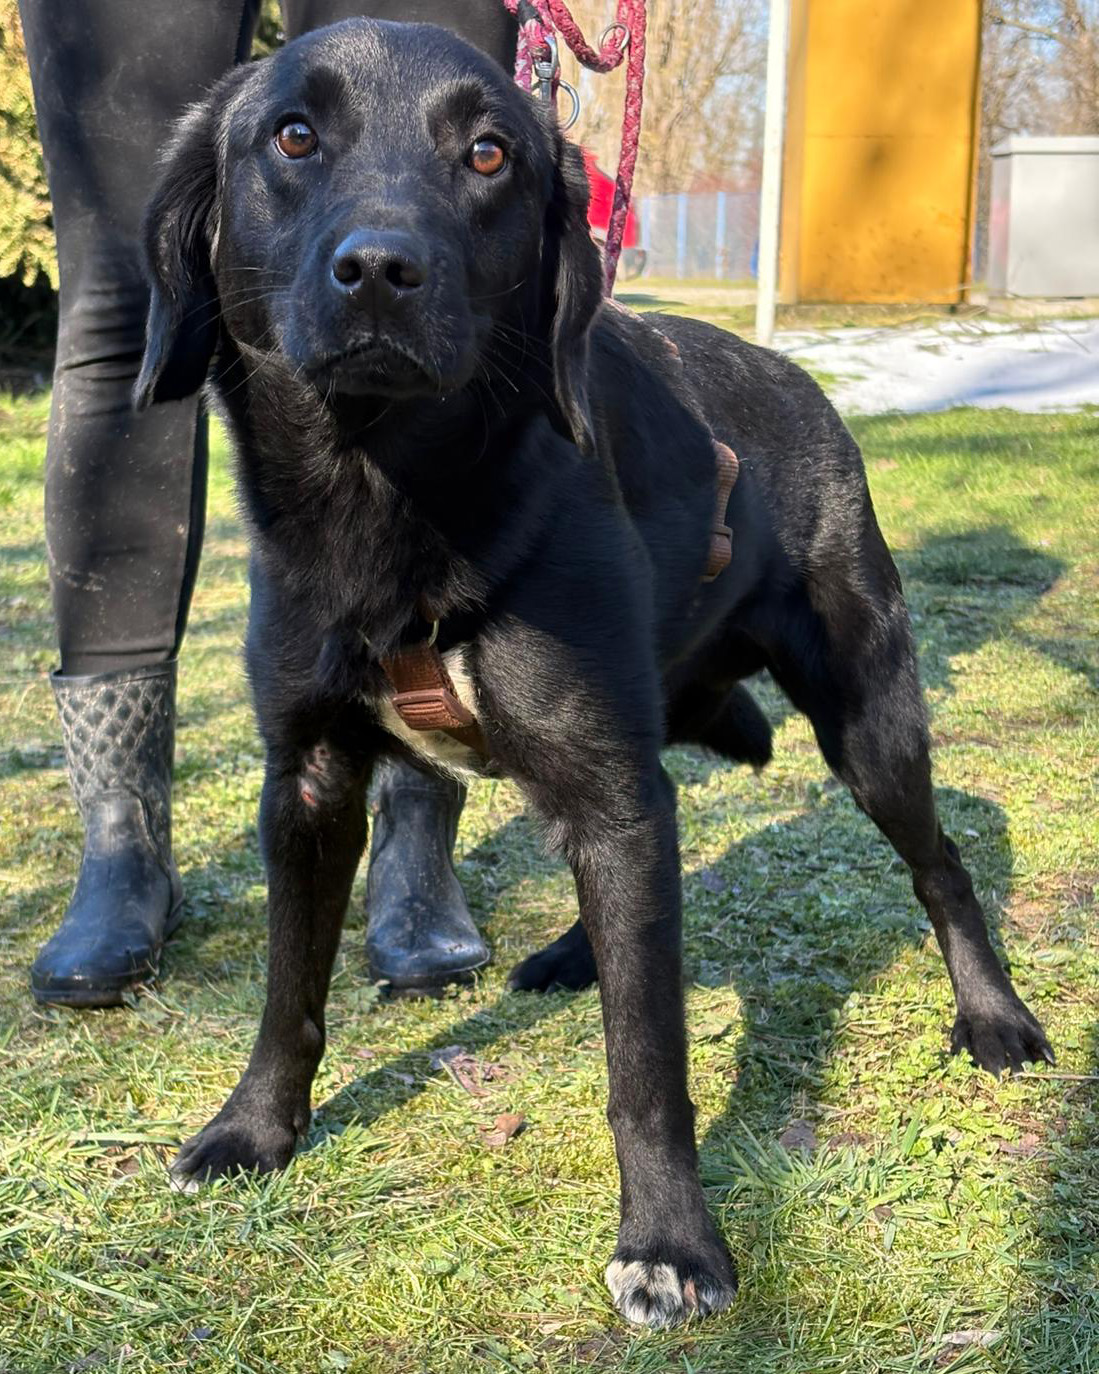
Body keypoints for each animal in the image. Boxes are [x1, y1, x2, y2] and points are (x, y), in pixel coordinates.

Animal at [134, 19, 1054, 1329]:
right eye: (292, 136)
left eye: (487, 153)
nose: (382, 271)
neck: (393, 504)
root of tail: (803, 384)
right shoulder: (305, 782)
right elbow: (287, 992)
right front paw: (255, 1128)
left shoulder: (612, 789)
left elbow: (646, 1059)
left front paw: (671, 1240)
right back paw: (575, 950)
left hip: (869, 724)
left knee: (940, 868)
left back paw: (993, 1015)